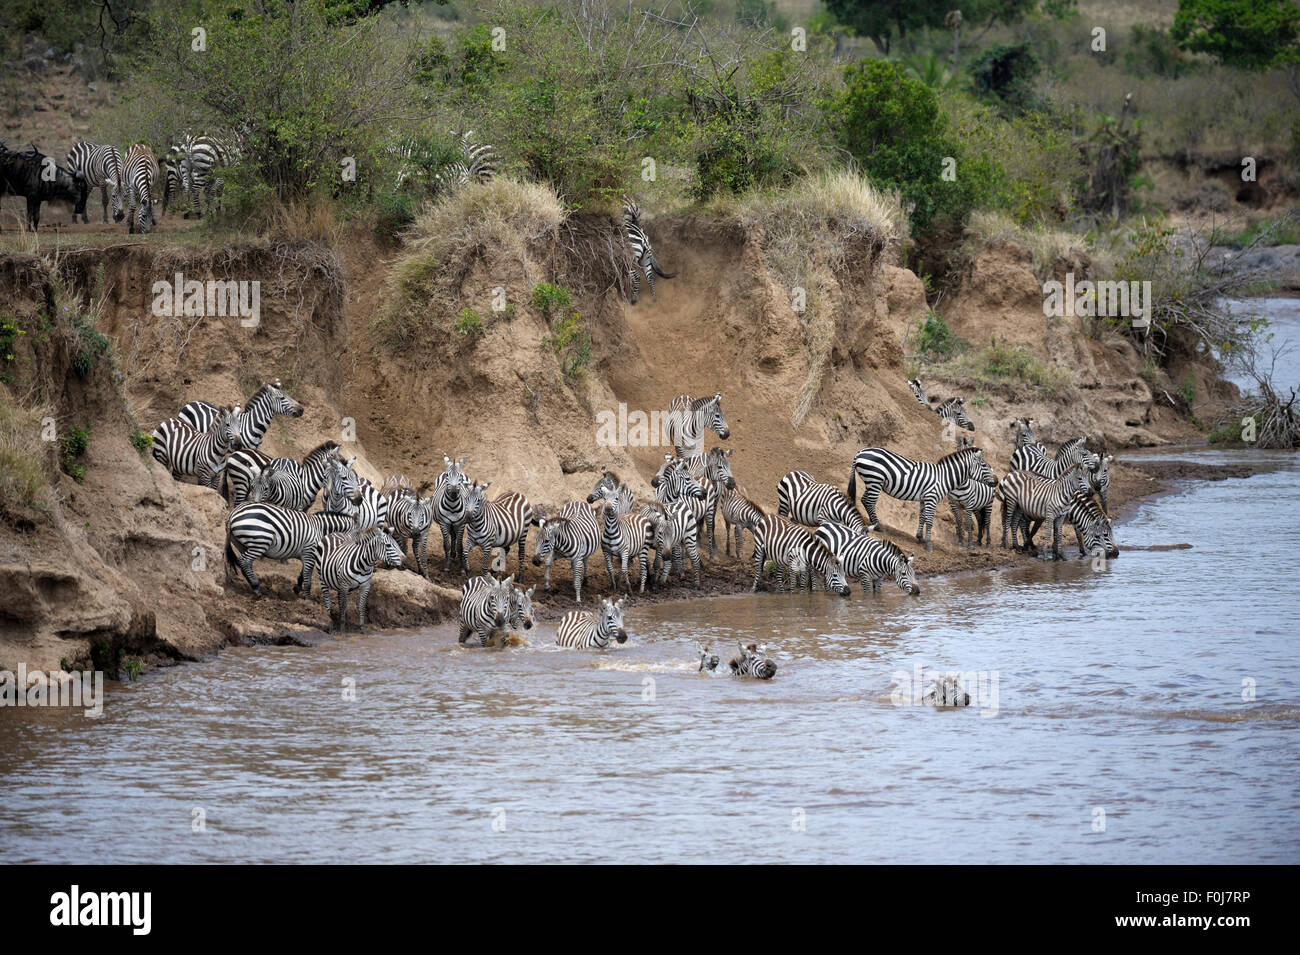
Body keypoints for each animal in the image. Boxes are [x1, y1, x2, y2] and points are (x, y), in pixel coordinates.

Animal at [224, 501, 354, 598]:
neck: (321, 530)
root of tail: (233, 514)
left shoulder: (307, 555)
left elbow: (303, 573)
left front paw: (297, 588)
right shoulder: (310, 552)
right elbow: (307, 578)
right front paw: (307, 599)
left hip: (242, 544)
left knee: (245, 564)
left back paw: (253, 585)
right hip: (261, 541)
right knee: (244, 561)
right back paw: (257, 588)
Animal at [847, 445, 993, 550]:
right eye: (984, 465)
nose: (996, 482)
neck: (943, 478)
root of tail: (860, 452)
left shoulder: (924, 499)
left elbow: (922, 517)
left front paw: (920, 537)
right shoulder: (932, 498)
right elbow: (929, 521)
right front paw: (928, 543)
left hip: (872, 481)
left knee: (864, 500)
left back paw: (874, 523)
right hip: (875, 480)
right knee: (869, 502)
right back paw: (878, 526)